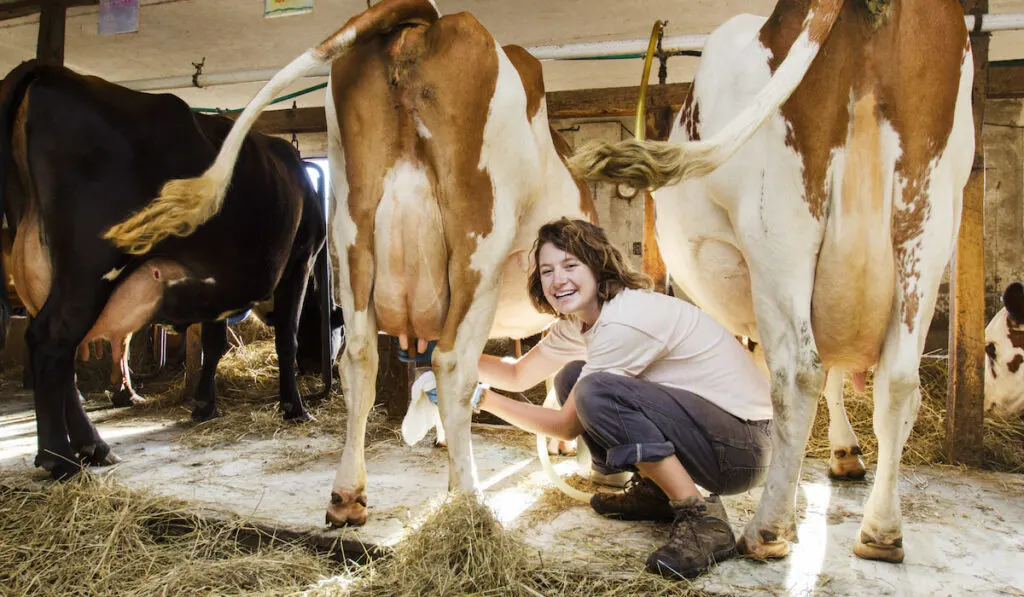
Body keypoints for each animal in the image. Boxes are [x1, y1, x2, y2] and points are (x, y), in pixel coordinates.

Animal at [100, 0, 598, 524]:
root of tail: (427, 21)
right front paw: (564, 446)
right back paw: (468, 499)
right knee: (454, 365)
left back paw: (346, 495)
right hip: (478, 240)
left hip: (352, 231)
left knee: (358, 358)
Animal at [573, 0, 970, 565]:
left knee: (800, 374)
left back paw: (768, 529)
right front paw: (844, 454)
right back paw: (880, 531)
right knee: (896, 381)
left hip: (778, 232)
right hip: (928, 224)